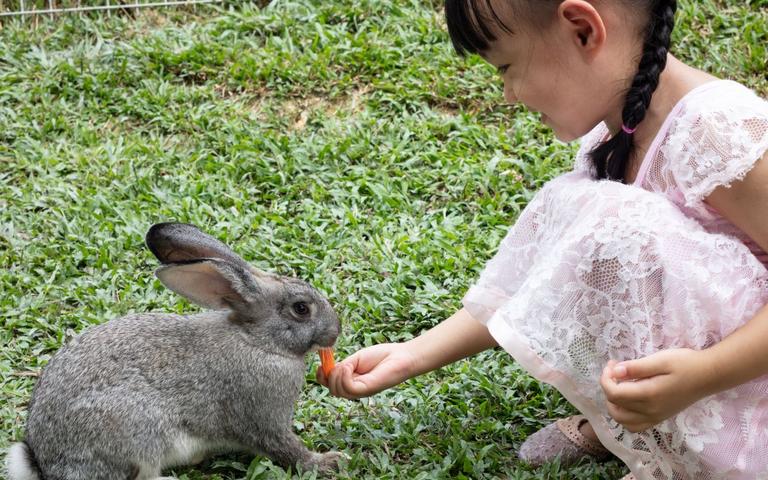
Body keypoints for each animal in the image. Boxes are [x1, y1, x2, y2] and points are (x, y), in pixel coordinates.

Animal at [6, 222, 342, 480]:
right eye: (301, 309)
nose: (336, 331)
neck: (257, 340)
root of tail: (44, 462)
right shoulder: (263, 417)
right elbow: (286, 448)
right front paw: (327, 462)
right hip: (137, 433)